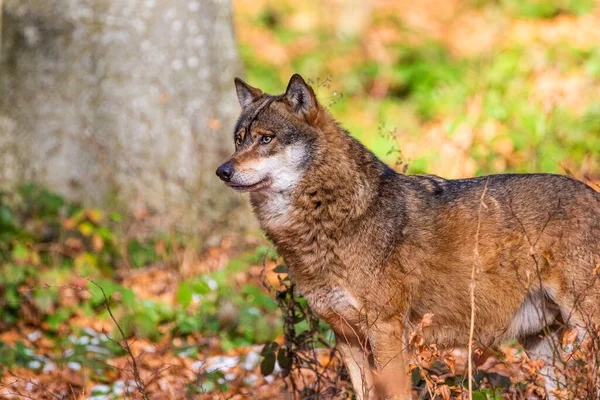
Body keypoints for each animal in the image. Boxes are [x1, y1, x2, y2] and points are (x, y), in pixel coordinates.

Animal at [218, 73, 600, 398]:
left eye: (266, 139)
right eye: (239, 140)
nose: (223, 171)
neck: (333, 215)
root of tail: (594, 194)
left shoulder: (386, 332)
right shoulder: (346, 338)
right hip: (539, 343)